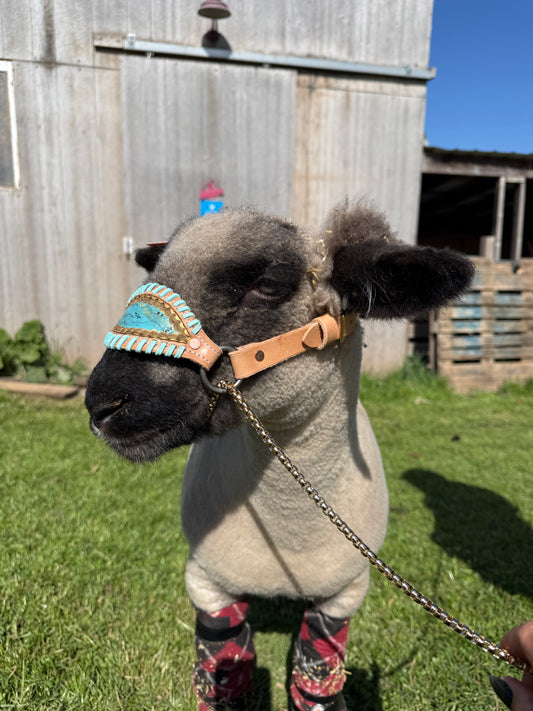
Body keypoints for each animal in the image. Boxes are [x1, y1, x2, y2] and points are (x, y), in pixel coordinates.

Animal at [85, 203, 474, 710]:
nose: (101, 404)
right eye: (159, 271)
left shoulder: (343, 596)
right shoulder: (208, 585)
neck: (288, 536)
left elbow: (314, 681)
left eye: (268, 284)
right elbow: (224, 674)